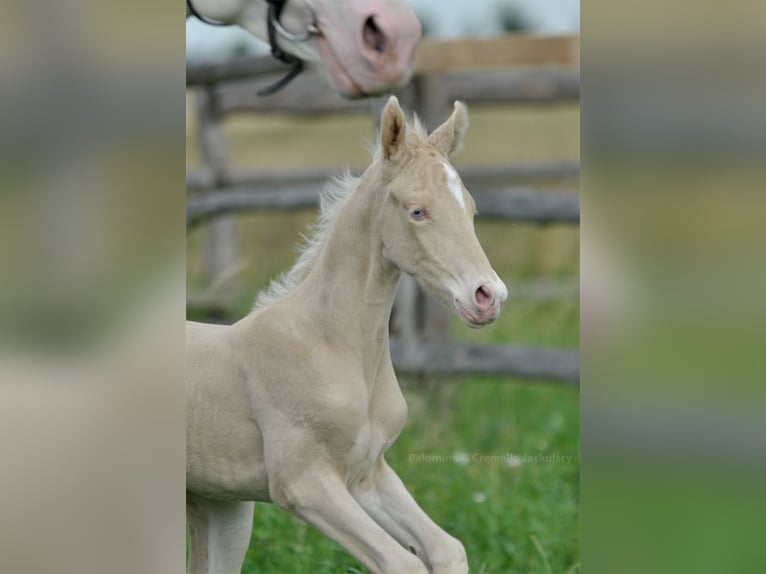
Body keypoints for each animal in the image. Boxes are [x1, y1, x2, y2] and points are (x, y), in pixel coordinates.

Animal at [186, 96, 508, 574]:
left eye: (470, 209)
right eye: (416, 210)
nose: (488, 296)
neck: (331, 345)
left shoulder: (368, 475)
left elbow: (447, 548)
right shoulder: (303, 484)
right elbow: (402, 563)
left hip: (221, 508)